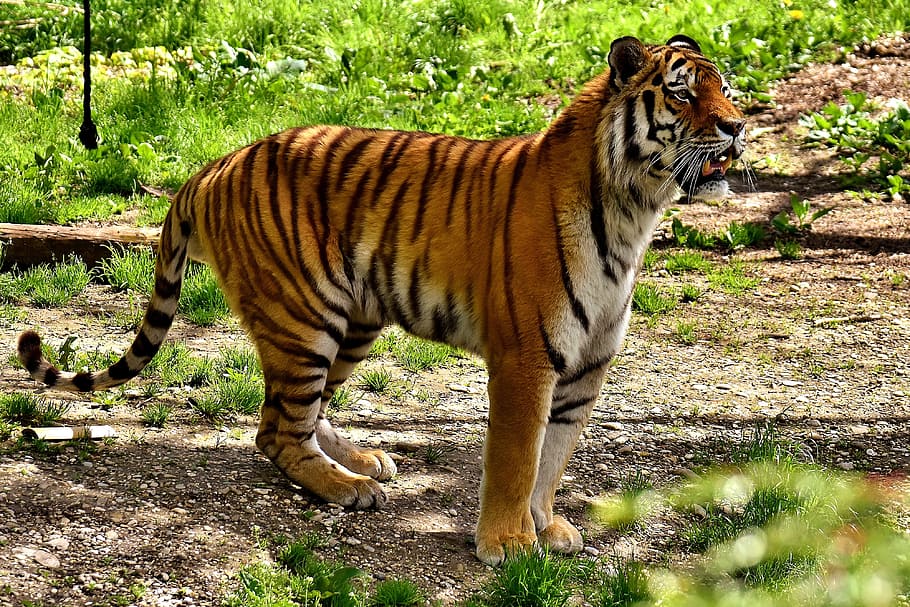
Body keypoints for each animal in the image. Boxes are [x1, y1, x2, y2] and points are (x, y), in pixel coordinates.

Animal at [17, 34, 746, 565]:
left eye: (727, 89)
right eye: (682, 93)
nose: (738, 127)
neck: (634, 211)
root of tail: (211, 166)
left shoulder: (587, 366)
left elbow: (553, 456)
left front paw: (546, 524)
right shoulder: (526, 360)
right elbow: (518, 457)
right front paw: (507, 543)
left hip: (352, 320)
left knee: (296, 413)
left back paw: (363, 460)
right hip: (304, 318)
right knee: (275, 428)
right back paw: (348, 487)